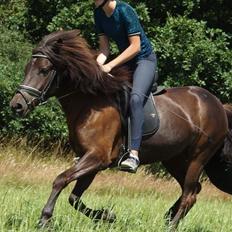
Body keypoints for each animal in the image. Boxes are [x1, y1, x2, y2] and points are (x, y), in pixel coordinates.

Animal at [10, 30, 231, 228]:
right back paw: (168, 217)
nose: (17, 106)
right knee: (194, 190)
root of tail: (218, 105)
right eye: (27, 68)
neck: (90, 104)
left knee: (189, 194)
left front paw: (44, 218)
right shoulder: (92, 161)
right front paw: (107, 216)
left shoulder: (97, 157)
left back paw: (170, 224)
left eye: (44, 70)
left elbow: (60, 179)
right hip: (173, 159)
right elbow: (74, 198)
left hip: (198, 158)